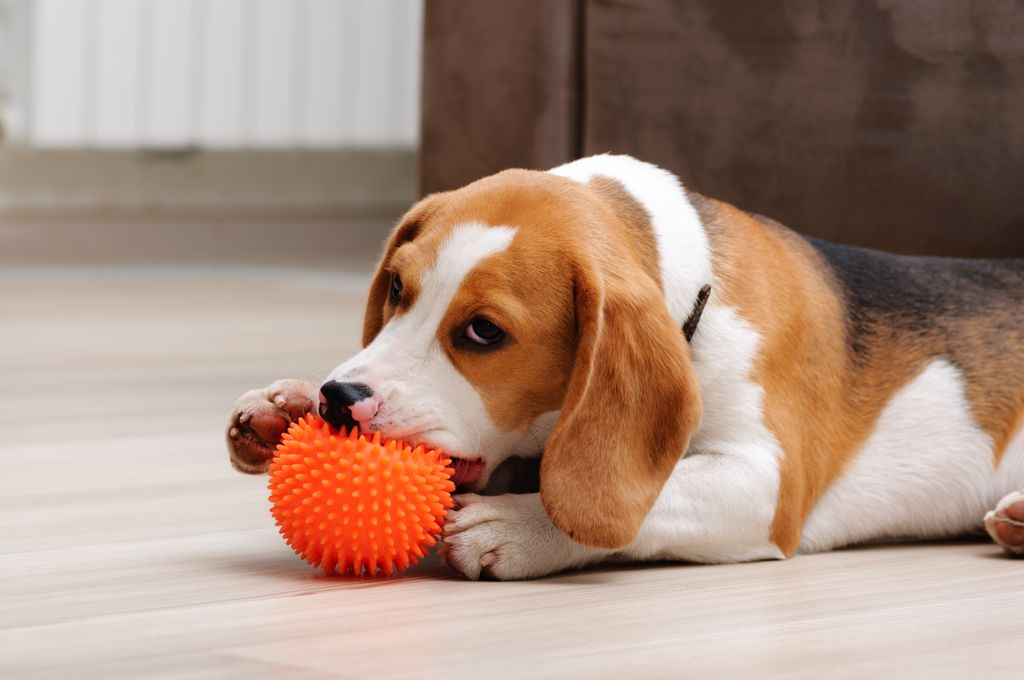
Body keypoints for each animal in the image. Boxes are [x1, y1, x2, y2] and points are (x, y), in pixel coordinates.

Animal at [228, 155, 1024, 577]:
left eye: (484, 332)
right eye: (396, 287)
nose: (339, 397)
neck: (696, 285)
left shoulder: (768, 483)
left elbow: (645, 497)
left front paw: (519, 527)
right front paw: (282, 405)